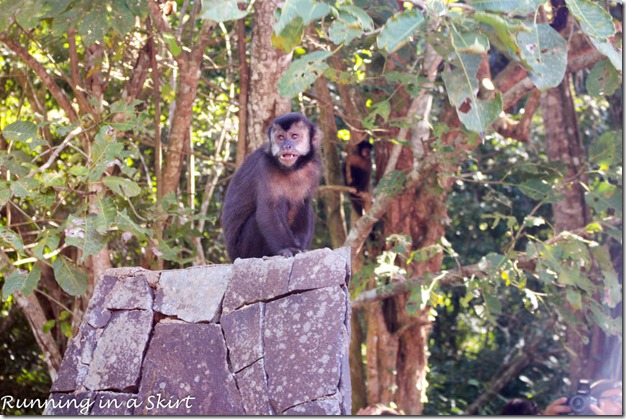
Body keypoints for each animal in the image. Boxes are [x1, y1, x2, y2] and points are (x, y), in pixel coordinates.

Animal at [219, 113, 320, 260]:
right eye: (280, 138)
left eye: (294, 136)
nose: (286, 146)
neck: (292, 169)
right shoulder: (265, 167)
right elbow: (268, 210)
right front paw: (289, 248)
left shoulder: (313, 169)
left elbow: (304, 206)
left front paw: (300, 247)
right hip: (243, 251)